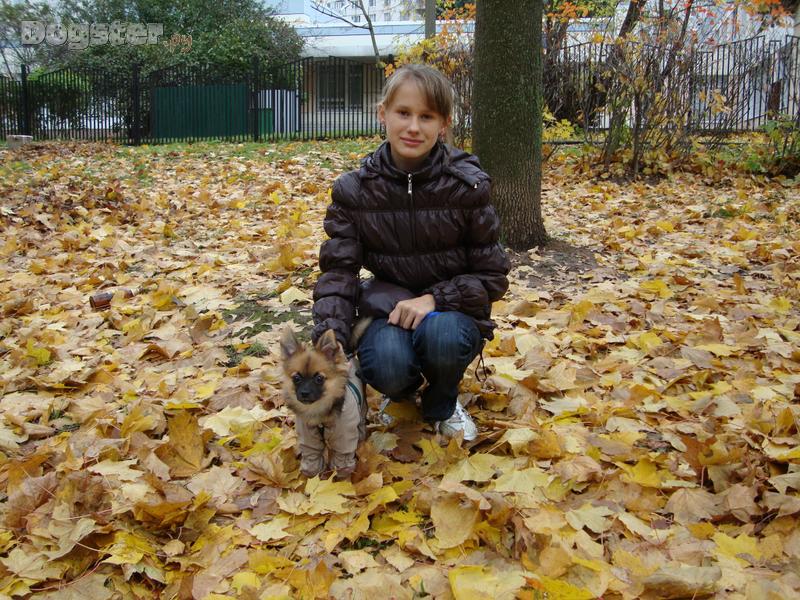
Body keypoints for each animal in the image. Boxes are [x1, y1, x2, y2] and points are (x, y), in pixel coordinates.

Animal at [279, 323, 369, 480]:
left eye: (319, 379)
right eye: (296, 378)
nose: (304, 393)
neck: (318, 412)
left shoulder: (344, 441)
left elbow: (342, 464)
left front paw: (342, 480)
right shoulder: (309, 441)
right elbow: (312, 461)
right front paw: (312, 478)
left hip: (362, 410)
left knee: (361, 424)